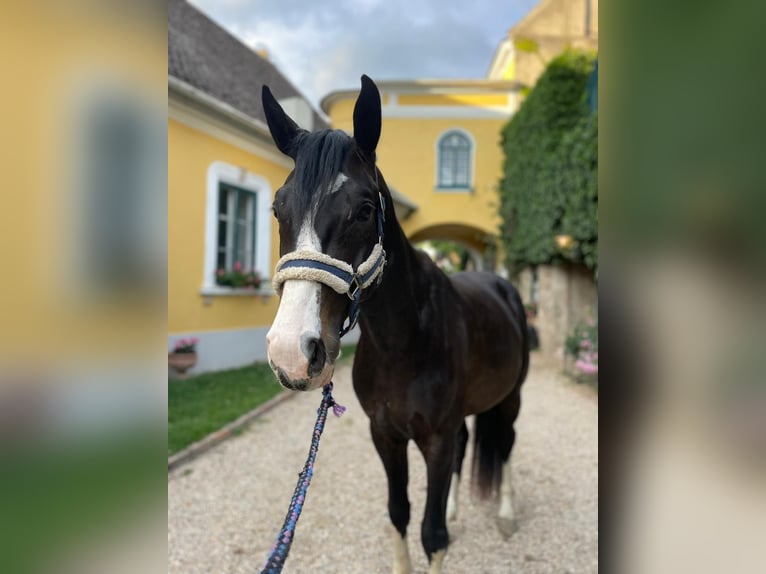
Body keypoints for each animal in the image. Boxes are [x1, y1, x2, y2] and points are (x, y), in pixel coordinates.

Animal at [264, 76, 528, 574]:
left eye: (365, 210)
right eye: (277, 207)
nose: (292, 352)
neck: (404, 342)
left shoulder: (436, 439)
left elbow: (432, 535)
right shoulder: (385, 436)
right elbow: (400, 514)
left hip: (511, 398)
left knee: (504, 444)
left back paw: (506, 513)